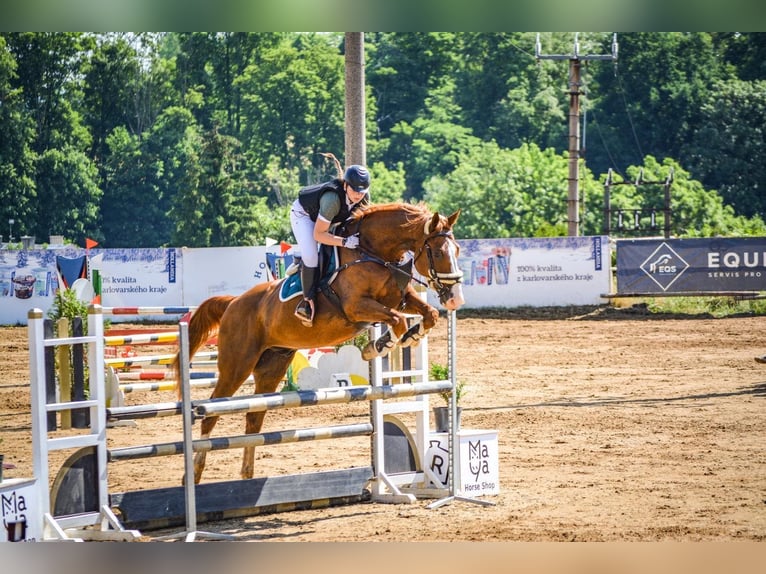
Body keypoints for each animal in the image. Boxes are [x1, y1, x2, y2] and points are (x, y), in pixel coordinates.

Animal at [182, 202, 468, 482]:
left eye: (457, 250)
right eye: (438, 253)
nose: (456, 299)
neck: (372, 252)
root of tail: (233, 303)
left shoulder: (400, 299)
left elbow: (428, 315)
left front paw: (409, 335)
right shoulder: (357, 307)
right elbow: (397, 320)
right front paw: (378, 346)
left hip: (272, 366)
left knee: (254, 416)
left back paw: (246, 476)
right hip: (237, 365)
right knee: (211, 413)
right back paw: (194, 473)